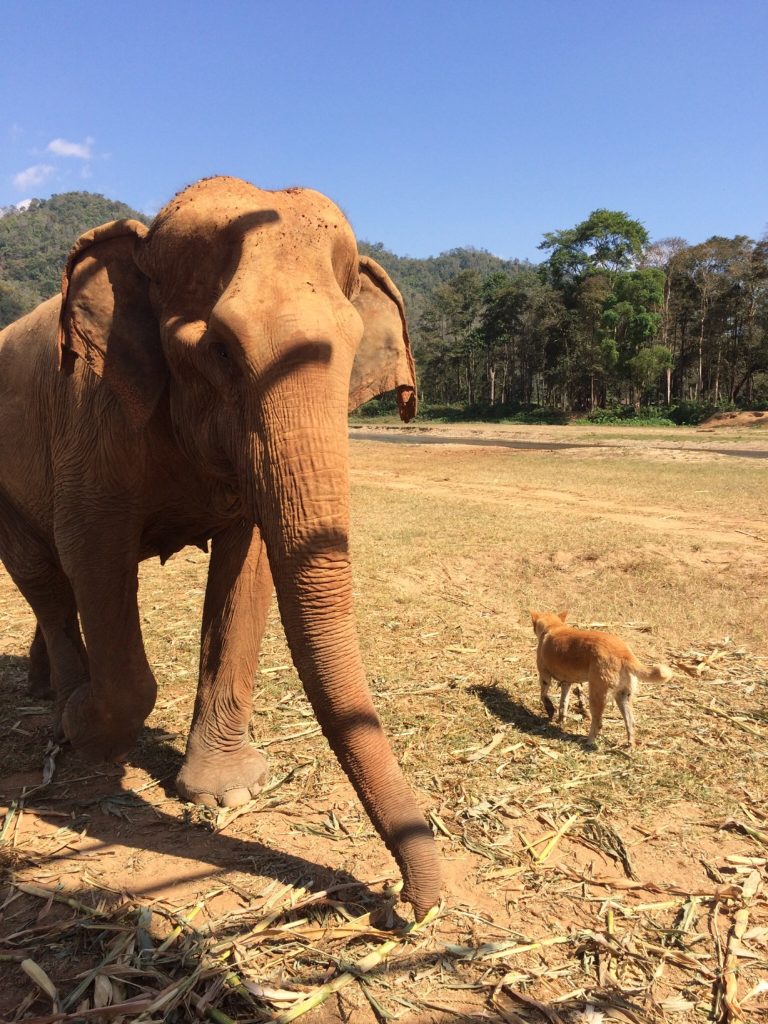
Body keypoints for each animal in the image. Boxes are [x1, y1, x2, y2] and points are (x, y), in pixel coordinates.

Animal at [0, 176, 438, 921]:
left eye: (353, 349)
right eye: (222, 351)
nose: (408, 903)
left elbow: (249, 567)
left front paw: (229, 790)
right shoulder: (93, 414)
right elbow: (92, 550)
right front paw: (86, 725)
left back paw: (45, 685)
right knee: (46, 576)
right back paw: (60, 698)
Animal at [528, 606, 671, 745]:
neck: (554, 626)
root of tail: (624, 653)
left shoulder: (544, 677)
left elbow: (544, 696)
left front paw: (550, 710)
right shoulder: (566, 682)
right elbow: (563, 703)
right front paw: (560, 720)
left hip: (596, 695)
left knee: (598, 723)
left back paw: (588, 742)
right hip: (623, 696)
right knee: (630, 722)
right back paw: (630, 745)